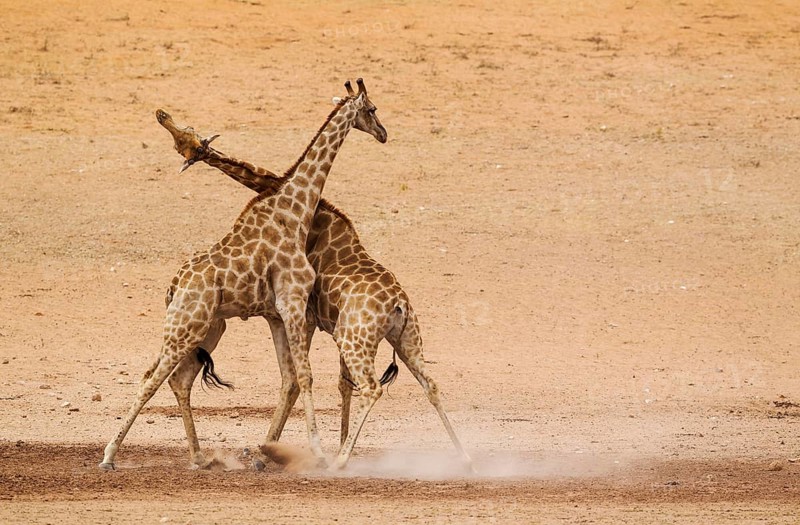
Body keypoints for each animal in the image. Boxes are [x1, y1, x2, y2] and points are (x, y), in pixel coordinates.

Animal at [98, 79, 386, 470]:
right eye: (372, 109)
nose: (384, 133)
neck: (294, 210)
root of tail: (174, 287)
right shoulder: (292, 304)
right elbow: (305, 377)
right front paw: (316, 451)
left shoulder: (280, 314)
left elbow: (293, 378)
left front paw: (275, 450)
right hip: (185, 327)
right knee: (150, 380)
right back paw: (110, 456)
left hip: (206, 327)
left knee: (177, 380)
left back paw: (200, 457)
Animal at [156, 107, 472, 471]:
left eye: (187, 139)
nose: (162, 115)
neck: (314, 214)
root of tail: (399, 303)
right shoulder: (320, 323)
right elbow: (338, 385)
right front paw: (294, 447)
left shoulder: (304, 317)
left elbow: (295, 380)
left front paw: (273, 450)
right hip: (404, 339)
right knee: (429, 384)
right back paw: (466, 459)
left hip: (356, 339)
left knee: (372, 387)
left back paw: (340, 462)